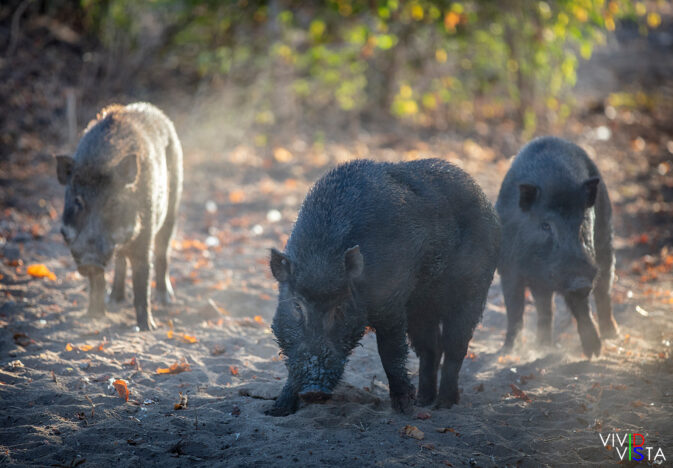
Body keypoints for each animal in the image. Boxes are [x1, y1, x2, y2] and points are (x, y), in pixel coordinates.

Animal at [56, 103, 183, 331]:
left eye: (112, 201)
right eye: (78, 201)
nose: (90, 260)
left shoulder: (145, 233)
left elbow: (142, 277)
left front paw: (147, 328)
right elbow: (97, 281)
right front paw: (93, 316)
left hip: (172, 208)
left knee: (163, 252)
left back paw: (165, 299)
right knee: (121, 261)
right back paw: (114, 300)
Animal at [267, 159, 500, 416]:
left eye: (339, 307)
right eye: (297, 306)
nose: (313, 390)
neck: (320, 259)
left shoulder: (391, 304)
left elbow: (390, 353)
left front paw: (403, 409)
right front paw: (276, 410)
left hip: (473, 290)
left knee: (455, 347)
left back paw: (442, 404)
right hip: (422, 308)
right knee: (431, 349)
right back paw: (424, 401)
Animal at [496, 136, 618, 357]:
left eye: (582, 222)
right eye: (546, 225)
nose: (581, 281)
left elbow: (582, 309)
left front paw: (594, 353)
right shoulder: (508, 268)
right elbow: (514, 309)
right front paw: (509, 351)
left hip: (605, 236)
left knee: (604, 288)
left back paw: (612, 335)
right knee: (545, 306)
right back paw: (542, 346)